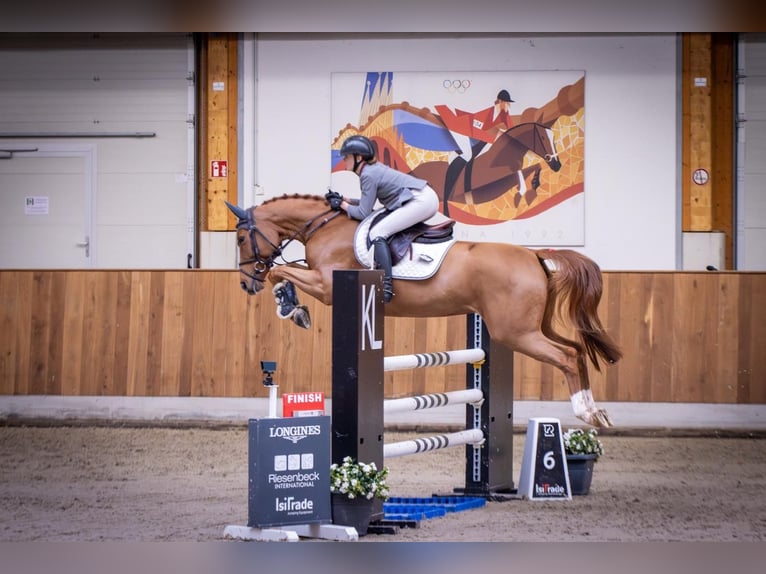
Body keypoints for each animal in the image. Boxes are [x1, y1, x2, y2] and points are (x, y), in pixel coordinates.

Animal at [226, 195, 622, 428]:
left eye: (241, 238)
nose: (245, 284)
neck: (325, 227)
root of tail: (535, 255)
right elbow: (283, 272)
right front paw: (290, 305)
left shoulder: (325, 285)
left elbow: (280, 273)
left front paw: (291, 308)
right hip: (533, 327)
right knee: (576, 350)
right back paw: (597, 411)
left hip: (516, 332)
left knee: (566, 356)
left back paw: (586, 413)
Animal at [410, 122, 562, 216]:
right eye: (543, 137)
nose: (557, 165)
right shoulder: (493, 177)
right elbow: (520, 177)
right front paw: (520, 197)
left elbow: (532, 168)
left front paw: (533, 186)